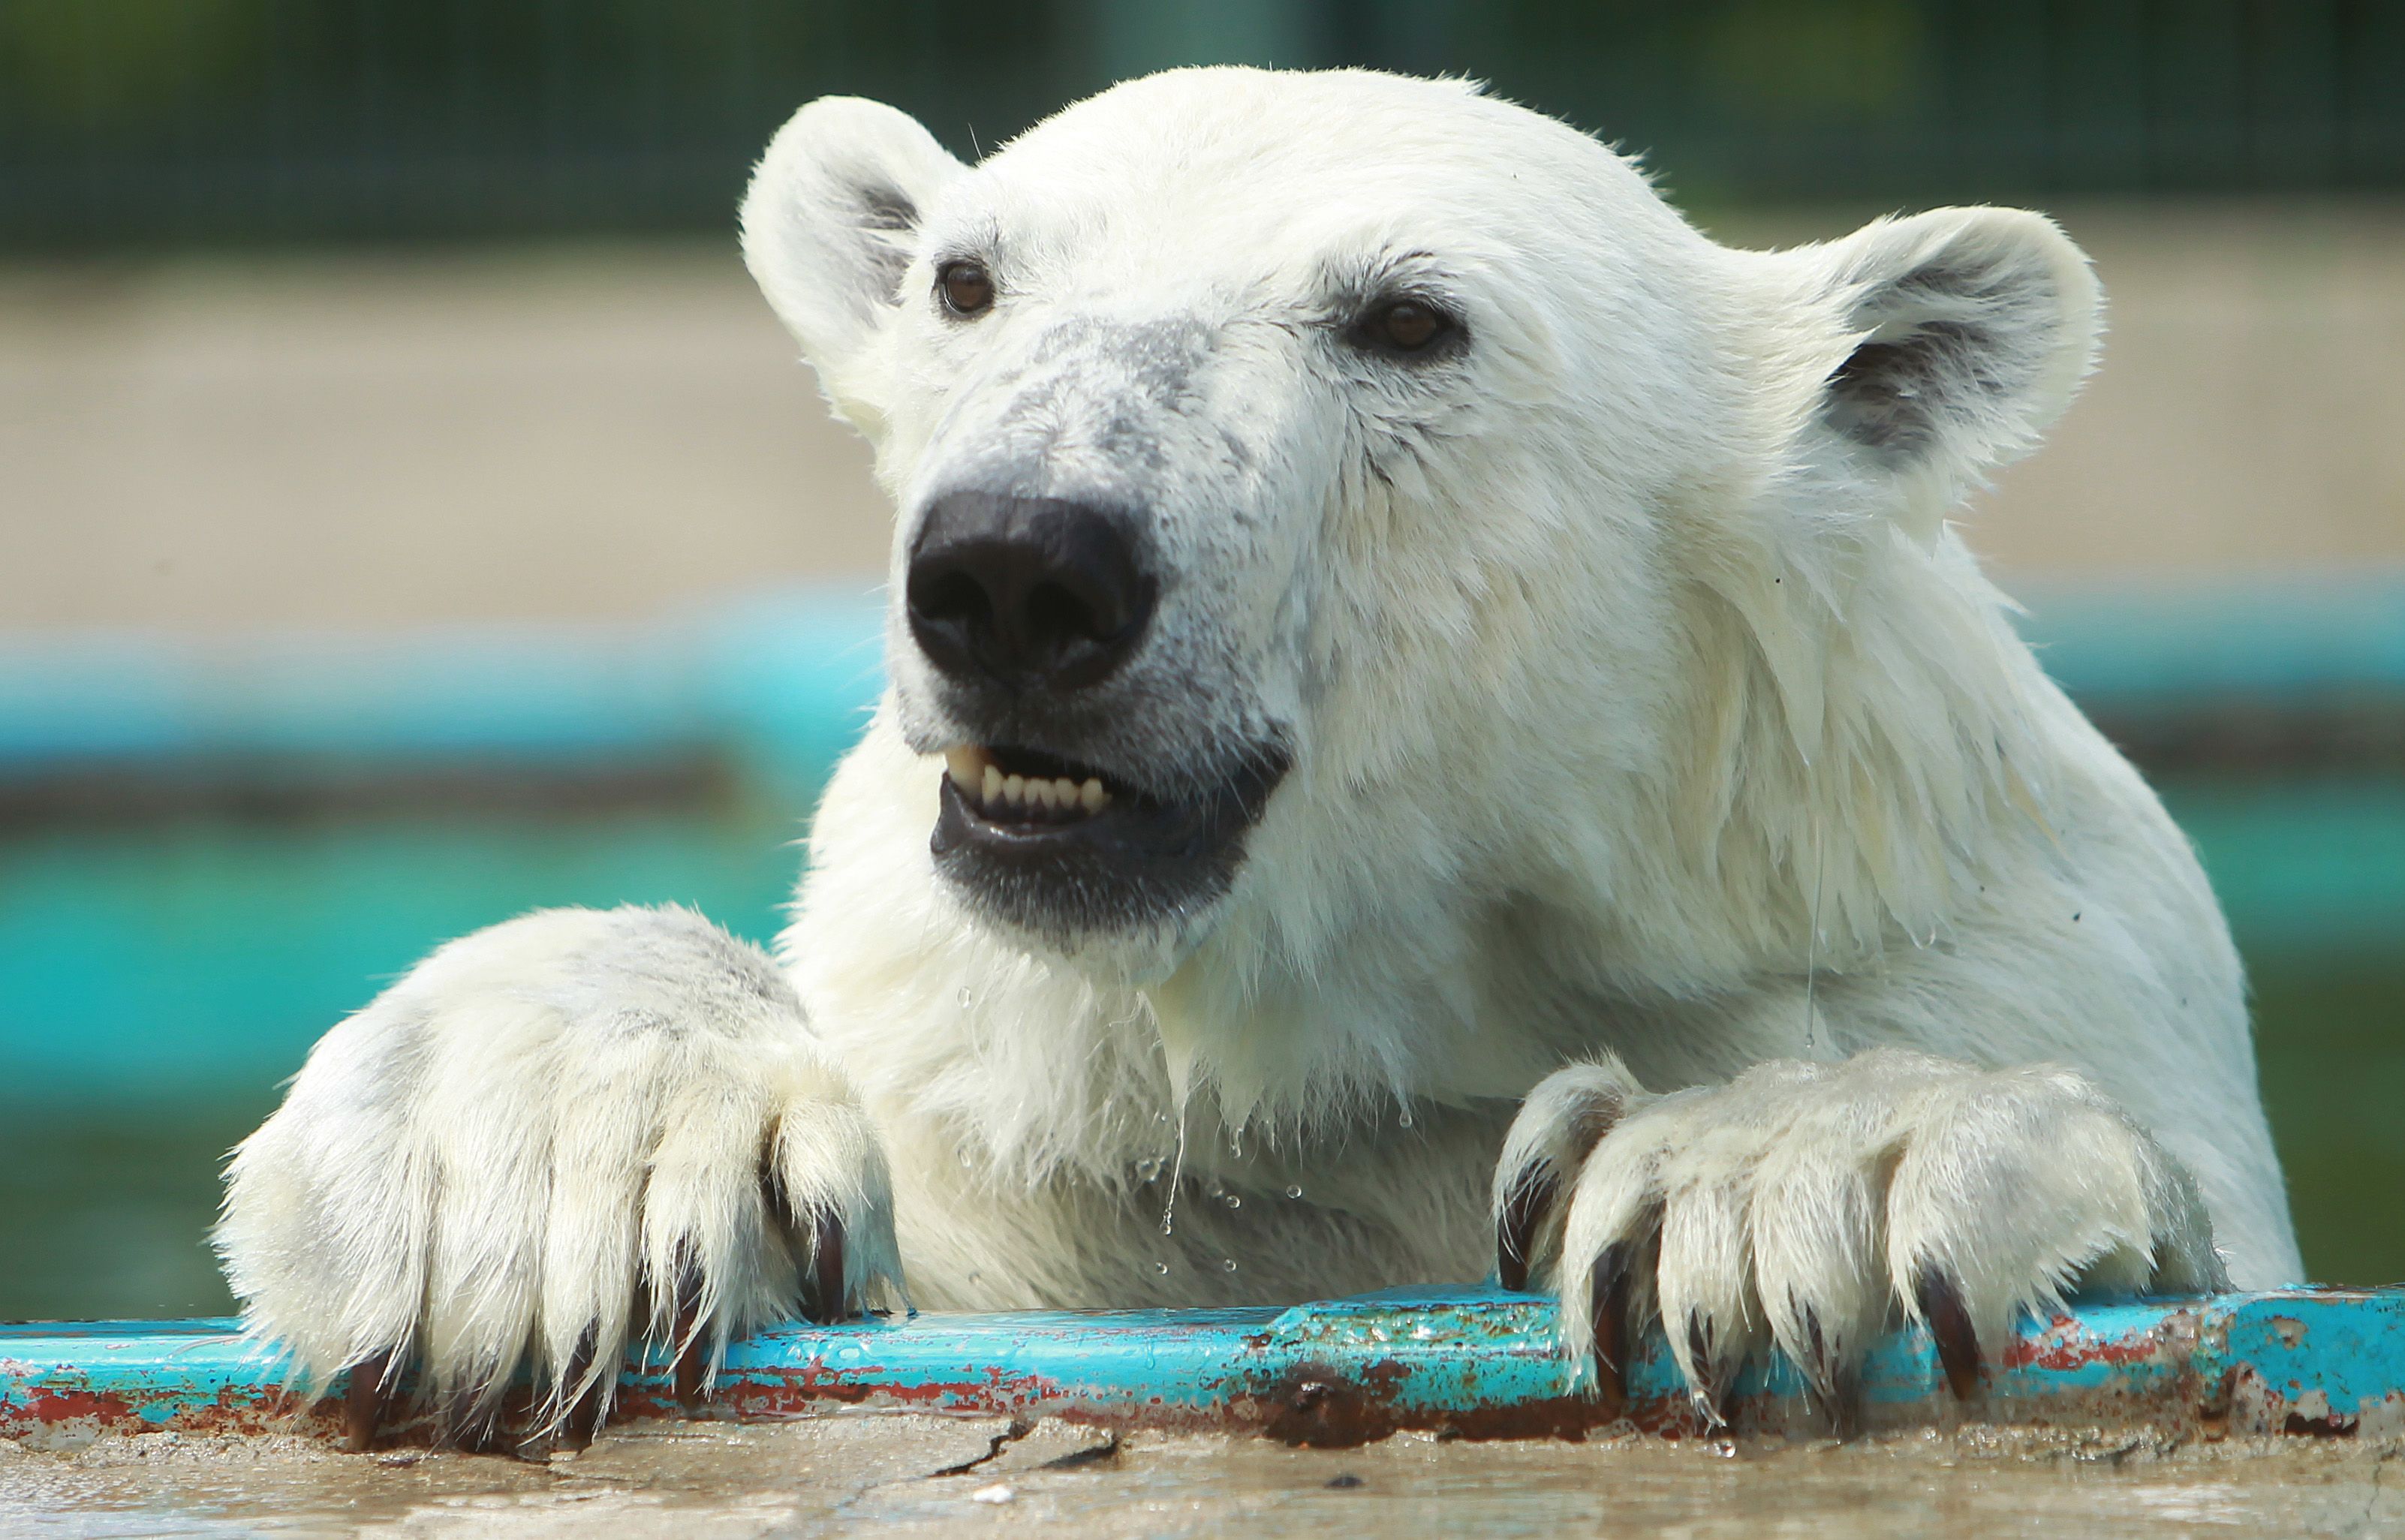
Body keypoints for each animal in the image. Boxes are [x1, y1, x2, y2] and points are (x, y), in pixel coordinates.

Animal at [216, 69, 2299, 1443]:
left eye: (1407, 319)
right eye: (965, 280)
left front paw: (1787, 1170)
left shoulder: (2005, 938)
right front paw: (536, 1161)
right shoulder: (1022, 1151)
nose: (1015, 568)